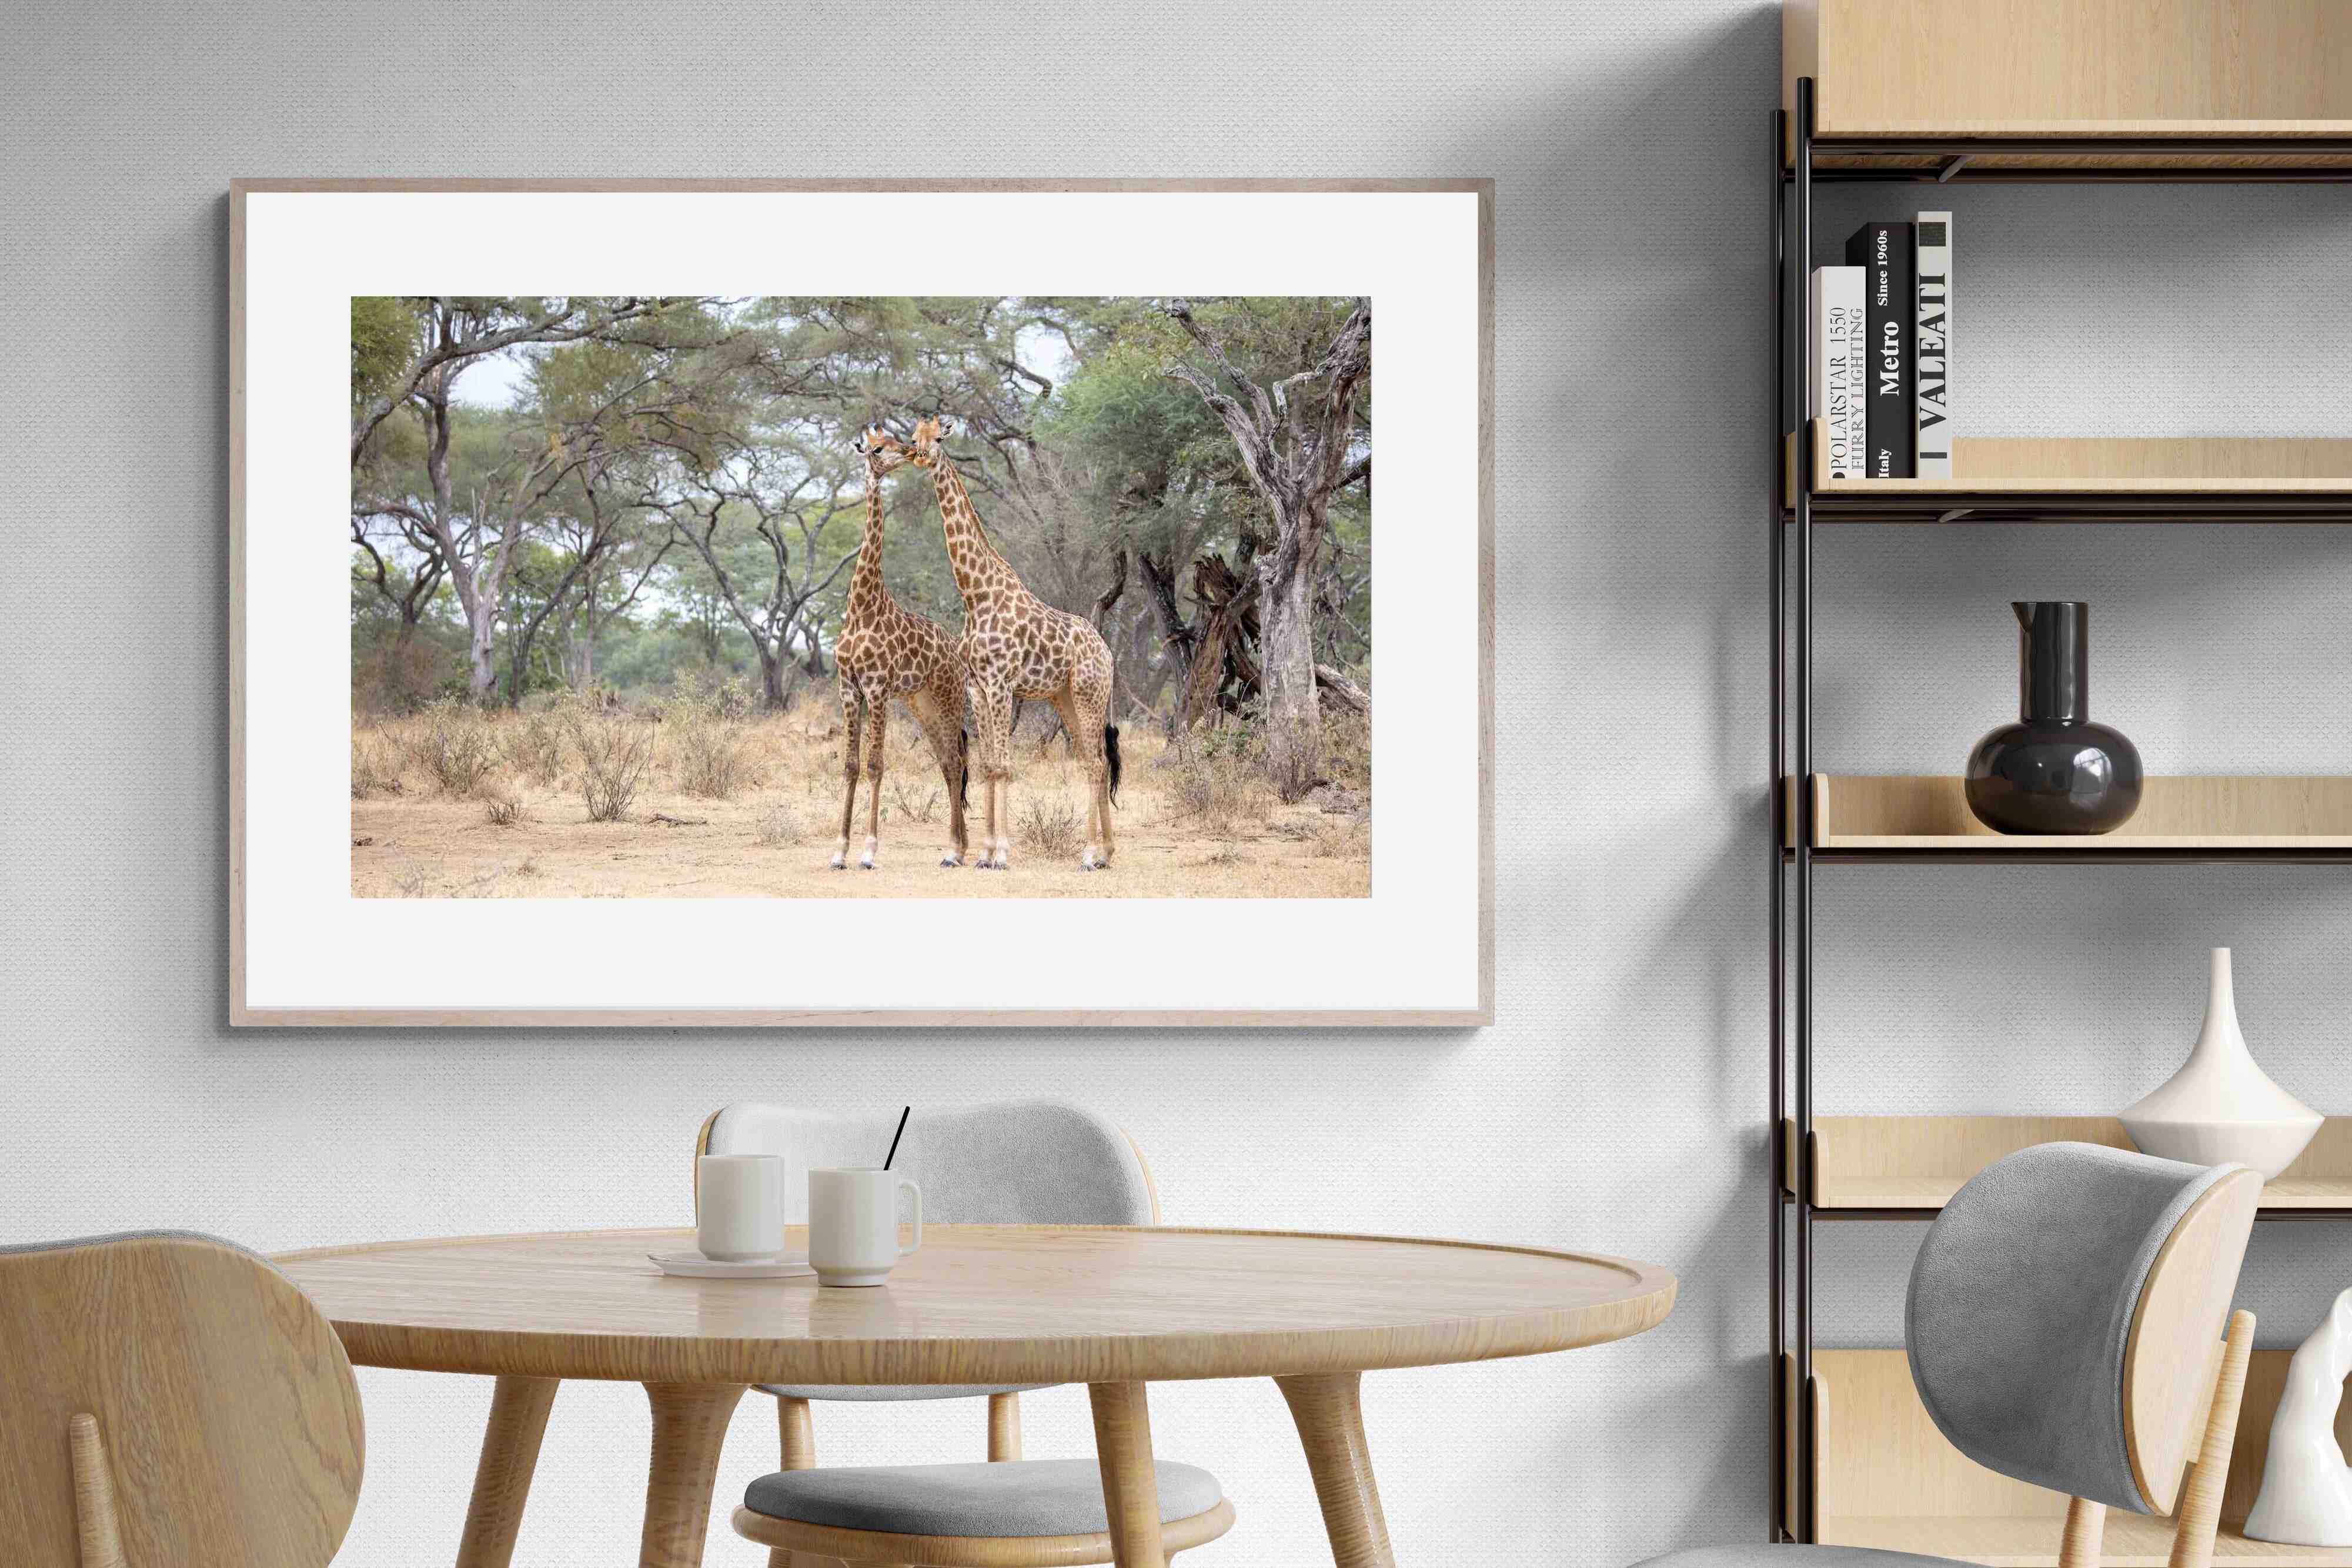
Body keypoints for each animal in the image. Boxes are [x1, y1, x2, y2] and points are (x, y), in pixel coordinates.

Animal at [828, 424, 969, 870]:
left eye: (893, 440)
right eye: (877, 448)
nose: (908, 452)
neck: (862, 607)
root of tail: (956, 652)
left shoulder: (876, 688)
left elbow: (876, 765)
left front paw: (869, 851)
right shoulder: (849, 688)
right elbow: (851, 766)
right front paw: (839, 851)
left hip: (949, 699)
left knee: (956, 761)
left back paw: (954, 850)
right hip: (921, 703)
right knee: (948, 762)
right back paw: (959, 847)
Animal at [895, 415, 1120, 871]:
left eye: (939, 437)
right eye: (913, 437)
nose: (920, 455)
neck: (975, 593)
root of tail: (1107, 652)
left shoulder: (1001, 683)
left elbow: (1003, 764)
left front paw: (999, 854)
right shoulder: (978, 687)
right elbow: (987, 764)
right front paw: (982, 852)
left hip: (1089, 693)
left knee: (1095, 763)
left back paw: (1089, 855)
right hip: (1065, 698)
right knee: (1096, 762)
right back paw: (1105, 853)